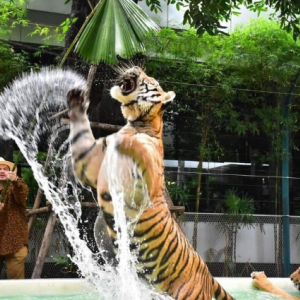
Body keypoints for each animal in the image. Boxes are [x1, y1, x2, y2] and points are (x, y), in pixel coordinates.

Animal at [67, 66, 236, 300]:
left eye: (151, 81)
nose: (137, 67)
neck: (137, 122)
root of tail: (209, 275)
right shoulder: (90, 162)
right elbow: (82, 133)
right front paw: (76, 99)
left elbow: (139, 149)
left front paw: (127, 141)